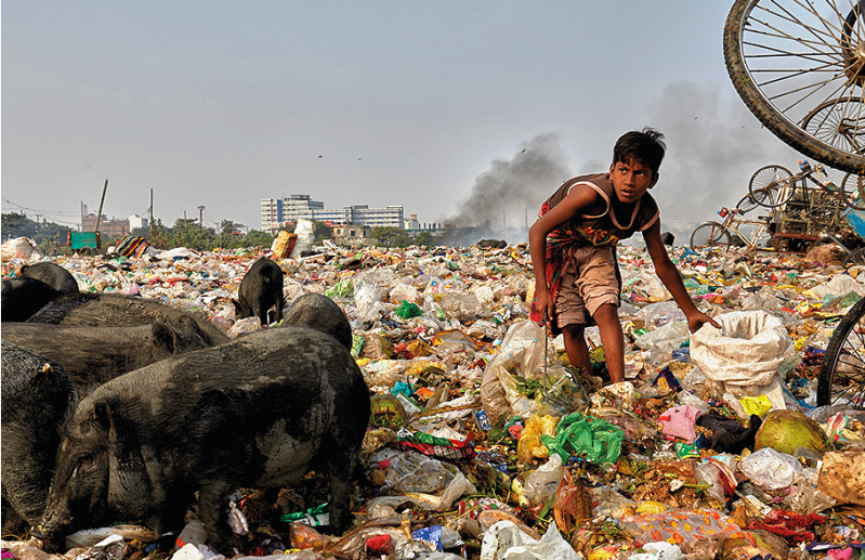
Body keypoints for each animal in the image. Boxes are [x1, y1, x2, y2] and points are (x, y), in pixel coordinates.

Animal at [37, 326, 370, 552]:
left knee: (341, 480)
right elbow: (165, 522)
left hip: (344, 433)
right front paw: (162, 548)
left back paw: (334, 532)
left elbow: (210, 508)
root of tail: (352, 364)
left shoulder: (222, 466)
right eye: (60, 450)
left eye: (86, 457)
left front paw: (234, 548)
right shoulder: (171, 487)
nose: (39, 531)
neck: (149, 431)